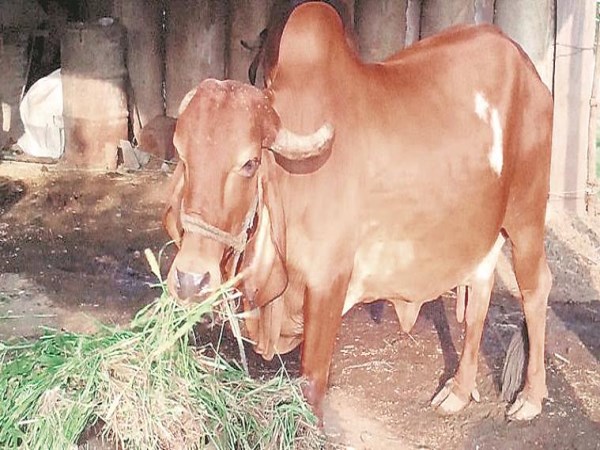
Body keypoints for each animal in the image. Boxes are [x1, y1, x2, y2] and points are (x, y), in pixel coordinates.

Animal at [165, 2, 552, 422]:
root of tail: (526, 68)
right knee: (480, 290)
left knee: (535, 289)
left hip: (527, 216)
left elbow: (312, 385)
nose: (190, 279)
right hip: (484, 232)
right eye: (182, 155)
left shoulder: (329, 285)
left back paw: (530, 397)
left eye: (249, 163)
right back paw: (459, 391)